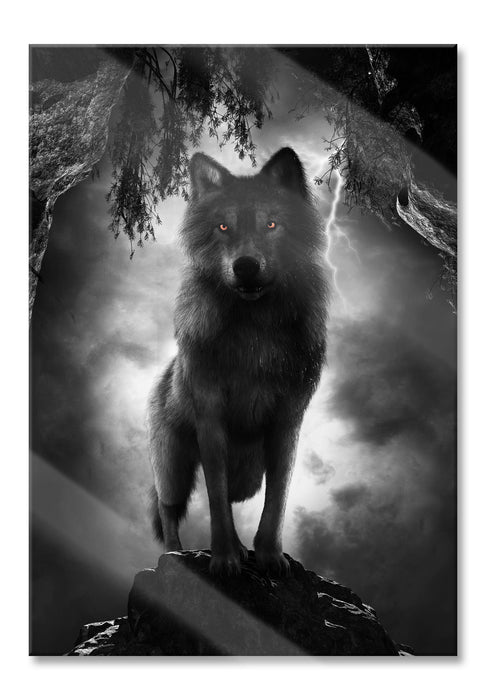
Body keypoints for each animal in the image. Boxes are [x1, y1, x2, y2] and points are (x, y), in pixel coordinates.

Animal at [149, 147, 328, 576]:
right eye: (223, 227)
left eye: (272, 224)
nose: (245, 266)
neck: (255, 331)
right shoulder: (211, 419)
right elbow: (215, 498)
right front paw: (225, 558)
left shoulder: (287, 422)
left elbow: (277, 499)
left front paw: (269, 556)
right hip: (174, 467)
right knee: (168, 509)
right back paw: (174, 556)